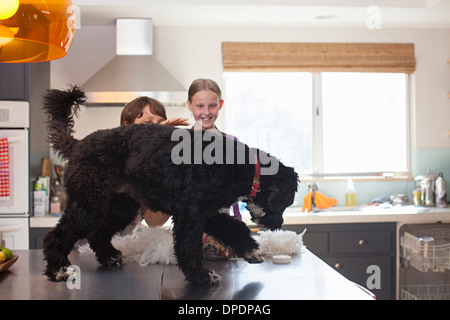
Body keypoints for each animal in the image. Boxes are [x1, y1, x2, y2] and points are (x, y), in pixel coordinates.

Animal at [40, 85, 298, 284]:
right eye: (284, 204)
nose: (279, 225)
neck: (242, 167)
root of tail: (78, 144)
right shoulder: (190, 215)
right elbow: (189, 248)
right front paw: (201, 277)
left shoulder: (208, 213)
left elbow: (235, 227)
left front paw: (249, 248)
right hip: (89, 205)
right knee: (56, 236)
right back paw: (58, 270)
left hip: (120, 207)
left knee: (98, 234)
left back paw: (109, 257)